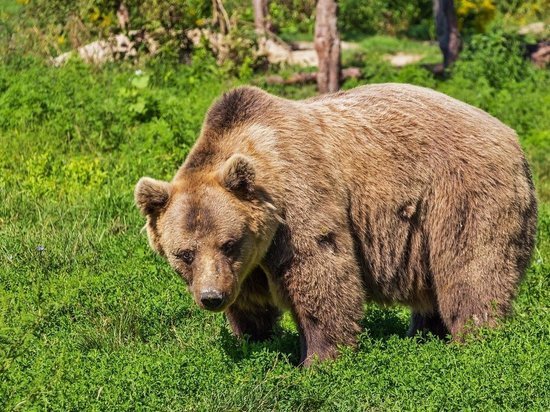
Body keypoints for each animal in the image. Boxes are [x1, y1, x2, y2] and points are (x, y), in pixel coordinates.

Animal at [135, 83, 540, 364]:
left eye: (228, 243)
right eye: (184, 253)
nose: (211, 298)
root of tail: (513, 137)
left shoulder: (299, 203)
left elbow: (322, 276)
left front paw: (317, 360)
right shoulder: (247, 265)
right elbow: (251, 304)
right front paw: (253, 341)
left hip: (462, 194)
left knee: (471, 270)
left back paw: (475, 341)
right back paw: (424, 334)